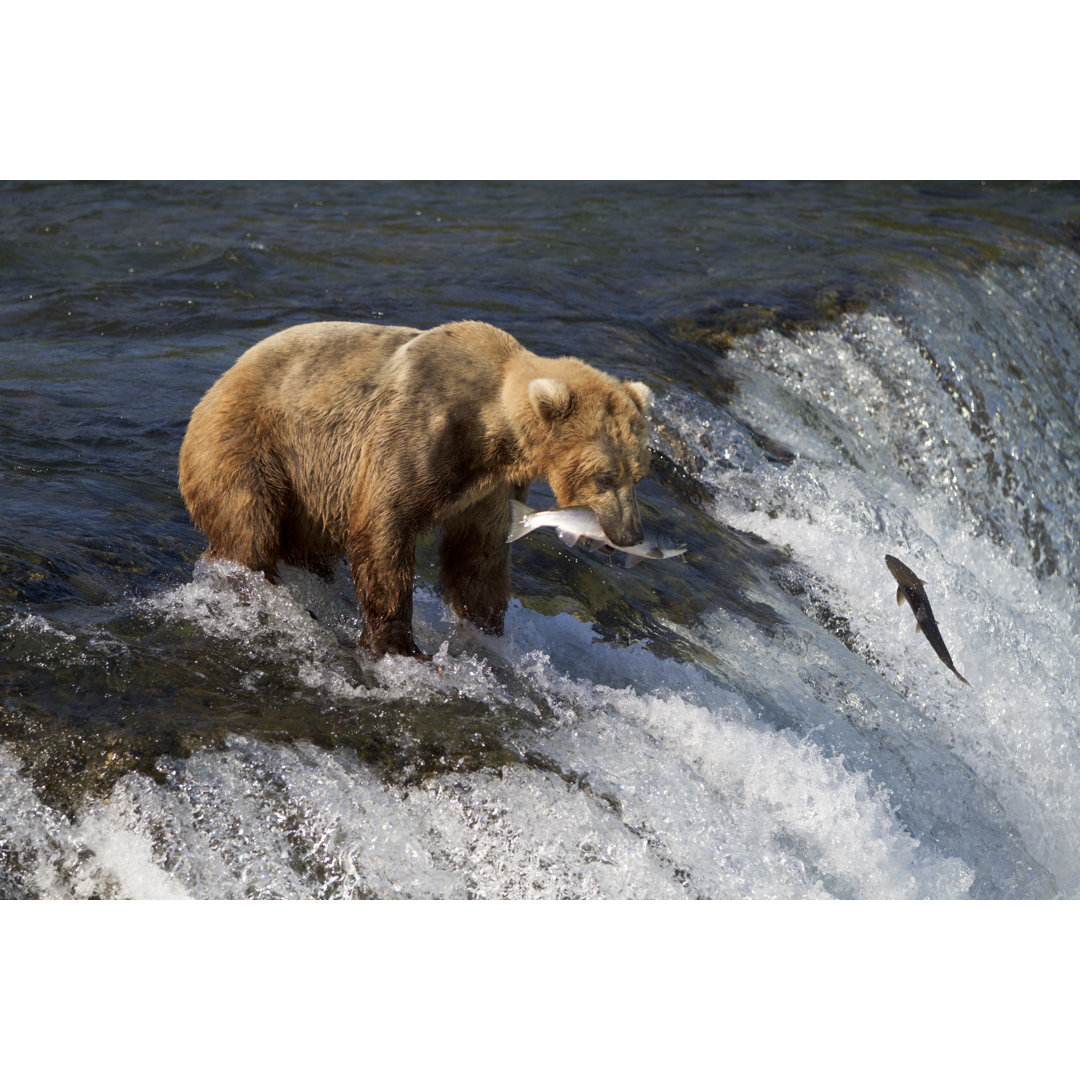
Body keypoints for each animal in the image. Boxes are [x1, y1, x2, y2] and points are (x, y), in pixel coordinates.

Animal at [179, 317, 648, 656]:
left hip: (311, 496)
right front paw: (396, 645)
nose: (628, 535)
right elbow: (385, 525)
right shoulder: (419, 428)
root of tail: (217, 384)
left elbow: (479, 556)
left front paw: (486, 630)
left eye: (638, 473)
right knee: (249, 526)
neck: (493, 435)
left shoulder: (490, 489)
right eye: (604, 477)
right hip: (252, 445)